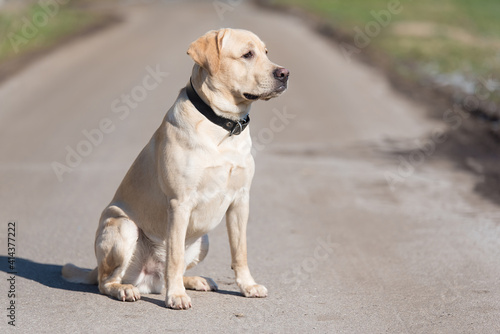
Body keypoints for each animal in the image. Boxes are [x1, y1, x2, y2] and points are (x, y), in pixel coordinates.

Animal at [62, 28, 290, 310]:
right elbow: (175, 255)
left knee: (168, 273)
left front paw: (248, 286)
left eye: (266, 53)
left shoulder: (240, 200)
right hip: (123, 227)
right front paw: (176, 297)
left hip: (204, 240)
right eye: (247, 54)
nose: (284, 73)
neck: (222, 126)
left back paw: (195, 280)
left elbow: (240, 251)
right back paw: (127, 289)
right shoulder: (179, 203)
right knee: (107, 282)